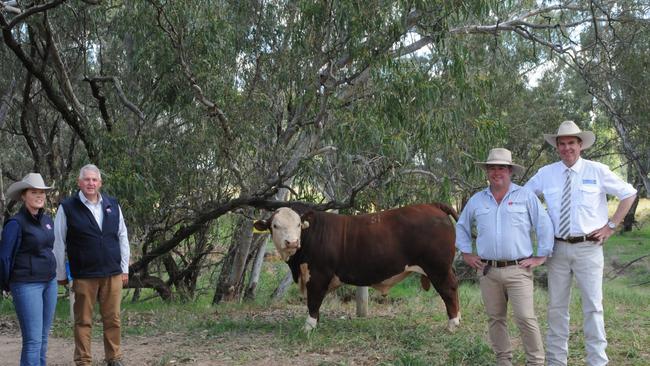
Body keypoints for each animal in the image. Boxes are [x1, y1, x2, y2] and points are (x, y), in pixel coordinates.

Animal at [253, 203, 460, 332]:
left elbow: (313, 302)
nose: (292, 242)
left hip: (438, 268)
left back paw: (453, 324)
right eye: (275, 225)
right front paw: (315, 324)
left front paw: (308, 327)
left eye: (298, 224)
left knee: (449, 290)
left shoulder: (318, 275)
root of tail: (432, 205)